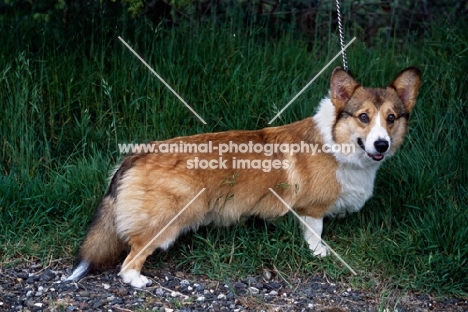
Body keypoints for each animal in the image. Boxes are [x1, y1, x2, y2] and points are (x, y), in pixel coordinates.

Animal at [65, 67, 420, 286]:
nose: (382, 144)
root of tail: (135, 154)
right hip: (172, 217)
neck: (337, 143)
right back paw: (138, 280)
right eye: (363, 117)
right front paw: (321, 254)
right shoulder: (311, 210)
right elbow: (315, 234)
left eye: (391, 118)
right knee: (131, 256)